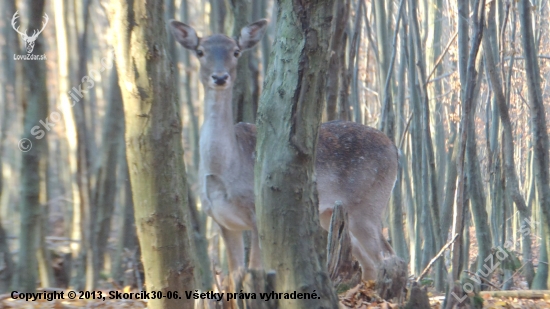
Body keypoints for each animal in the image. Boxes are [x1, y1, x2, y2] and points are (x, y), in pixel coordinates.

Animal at [170, 16, 398, 282]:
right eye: (200, 51)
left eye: (236, 51)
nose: (219, 77)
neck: (224, 170)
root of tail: (394, 149)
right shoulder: (222, 221)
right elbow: (234, 277)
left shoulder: (257, 213)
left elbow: (256, 268)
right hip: (331, 215)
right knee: (370, 263)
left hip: (369, 205)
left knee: (388, 255)